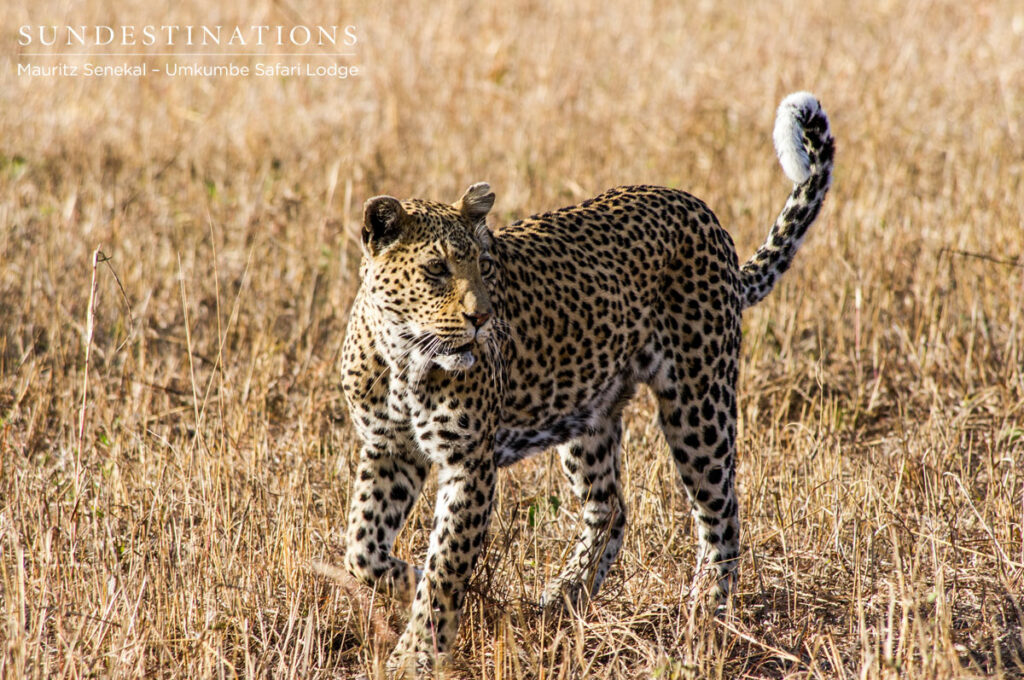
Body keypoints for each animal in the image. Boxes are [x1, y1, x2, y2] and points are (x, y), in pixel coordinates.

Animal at [338, 92, 834, 674]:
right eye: (436, 269)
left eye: (485, 265)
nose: (482, 318)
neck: (403, 358)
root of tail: (703, 214)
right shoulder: (388, 448)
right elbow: (362, 549)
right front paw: (434, 591)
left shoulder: (469, 464)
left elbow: (444, 569)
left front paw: (415, 654)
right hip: (586, 415)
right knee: (611, 511)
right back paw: (563, 598)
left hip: (698, 402)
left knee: (721, 513)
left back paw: (706, 619)